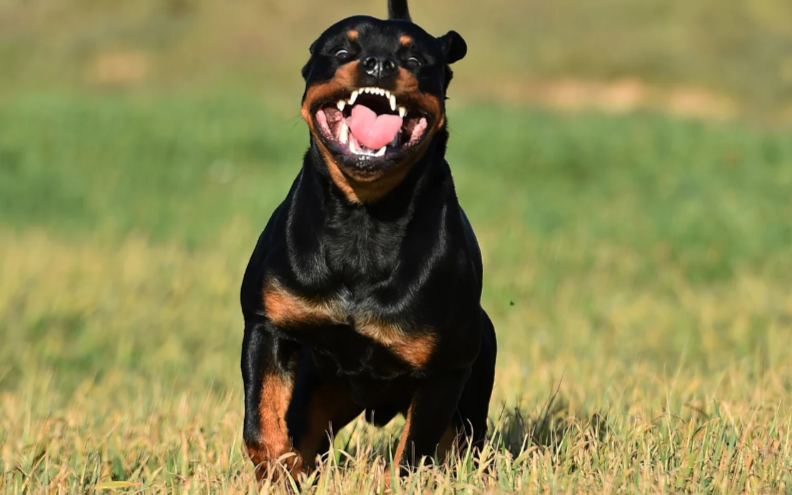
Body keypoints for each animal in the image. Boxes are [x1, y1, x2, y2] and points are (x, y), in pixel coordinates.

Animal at [240, 0, 497, 481]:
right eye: (342, 51)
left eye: (415, 59)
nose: (379, 63)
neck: (364, 219)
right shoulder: (267, 323)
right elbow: (261, 426)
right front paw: (281, 472)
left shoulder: (447, 370)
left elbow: (413, 453)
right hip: (318, 390)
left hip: (473, 382)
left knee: (463, 443)